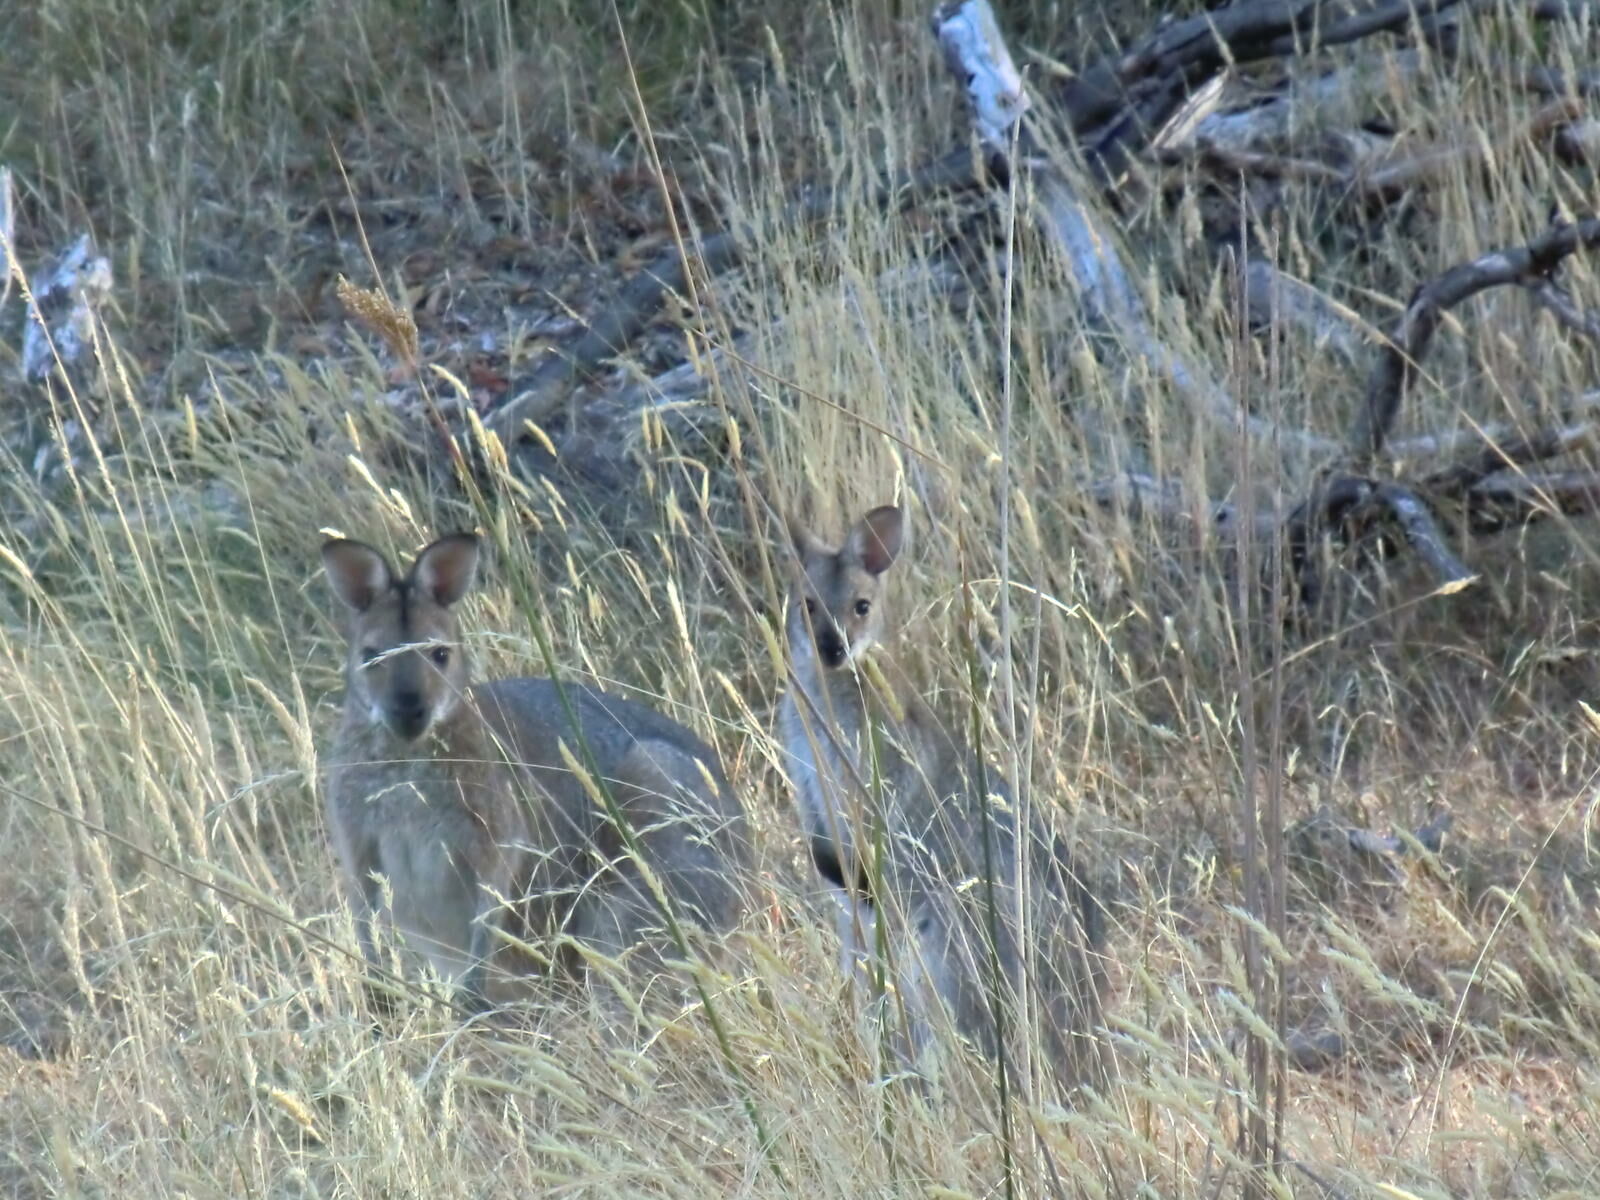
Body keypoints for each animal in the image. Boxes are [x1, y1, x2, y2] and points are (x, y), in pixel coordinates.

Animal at [320, 532, 751, 1014]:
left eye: (441, 654)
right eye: (370, 656)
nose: (410, 712)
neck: (405, 758)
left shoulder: (497, 831)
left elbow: (490, 900)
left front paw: (467, 995)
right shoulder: (357, 837)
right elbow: (363, 910)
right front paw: (377, 992)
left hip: (643, 865)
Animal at [778, 504, 1105, 1084]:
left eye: (862, 606)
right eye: (808, 605)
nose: (832, 649)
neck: (829, 695)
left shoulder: (878, 770)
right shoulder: (806, 773)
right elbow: (820, 832)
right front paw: (839, 872)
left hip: (954, 947)